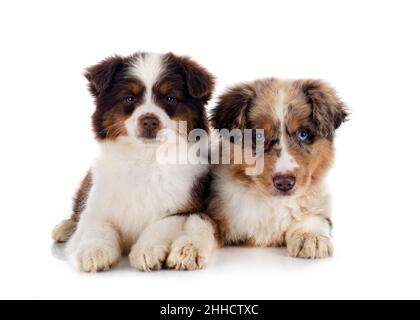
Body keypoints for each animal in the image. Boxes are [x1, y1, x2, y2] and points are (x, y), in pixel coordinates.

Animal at [52, 51, 220, 272]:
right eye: (129, 98)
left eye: (170, 98)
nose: (149, 121)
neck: (146, 158)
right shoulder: (98, 203)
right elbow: (95, 225)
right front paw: (94, 252)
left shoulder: (183, 207)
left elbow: (160, 225)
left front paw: (147, 250)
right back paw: (64, 227)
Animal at [208, 79, 348, 258]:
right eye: (259, 136)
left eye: (303, 134)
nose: (284, 183)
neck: (272, 202)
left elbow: (313, 217)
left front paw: (311, 238)